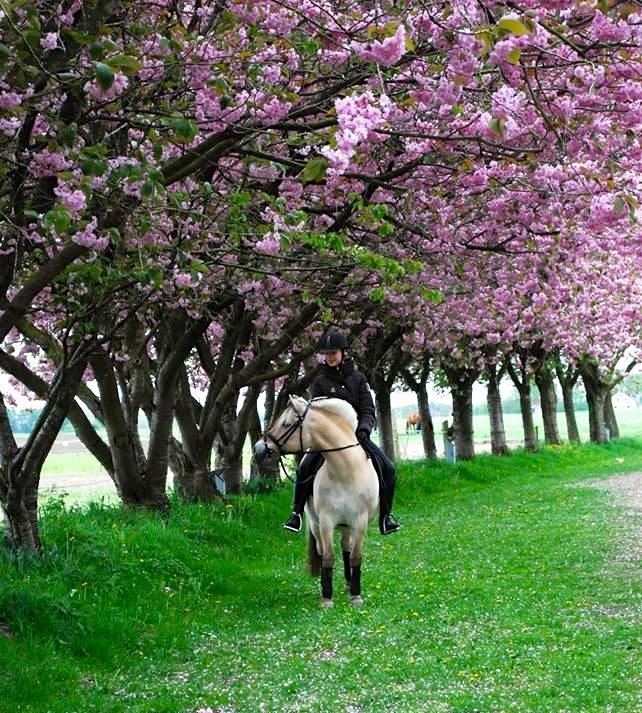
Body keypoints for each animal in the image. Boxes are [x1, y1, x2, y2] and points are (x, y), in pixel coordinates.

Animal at [254, 394, 378, 608]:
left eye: (286, 424)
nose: (258, 448)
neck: (346, 471)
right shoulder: (326, 520)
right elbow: (328, 557)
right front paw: (327, 599)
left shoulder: (360, 521)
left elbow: (355, 556)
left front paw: (356, 596)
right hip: (315, 524)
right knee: (321, 551)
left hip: (347, 525)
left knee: (346, 546)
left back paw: (348, 583)